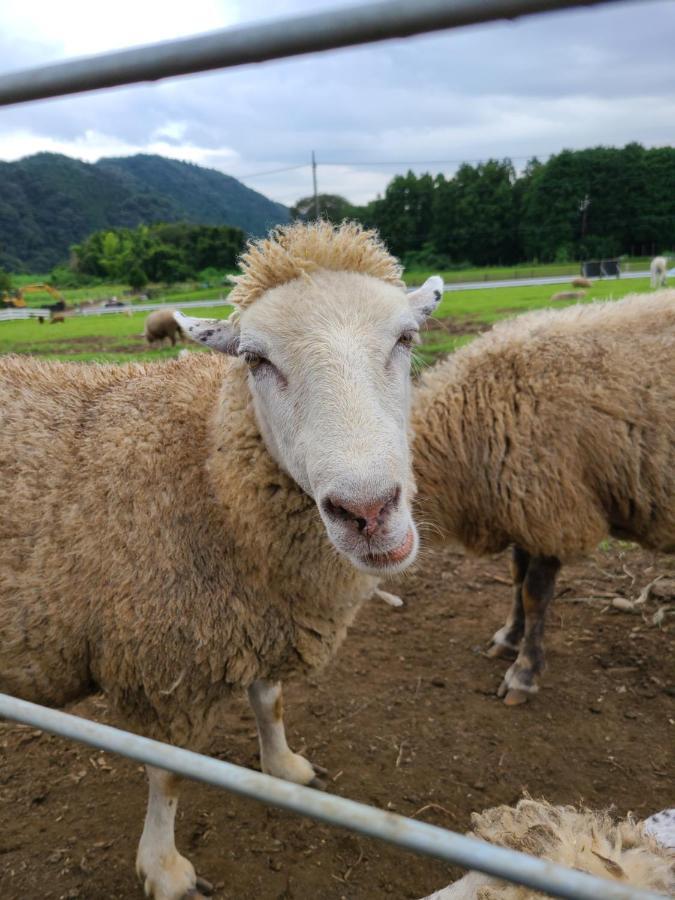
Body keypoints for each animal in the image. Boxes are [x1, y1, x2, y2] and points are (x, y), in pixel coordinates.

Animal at [0, 220, 444, 900]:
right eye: (256, 360)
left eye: (406, 339)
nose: (367, 512)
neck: (207, 470)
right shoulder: (163, 665)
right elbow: (170, 775)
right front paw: (164, 868)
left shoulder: (262, 612)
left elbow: (271, 699)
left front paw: (285, 766)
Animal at [412, 292, 675, 708]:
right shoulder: (522, 506)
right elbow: (516, 578)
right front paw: (507, 639)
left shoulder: (553, 510)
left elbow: (534, 594)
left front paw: (523, 673)